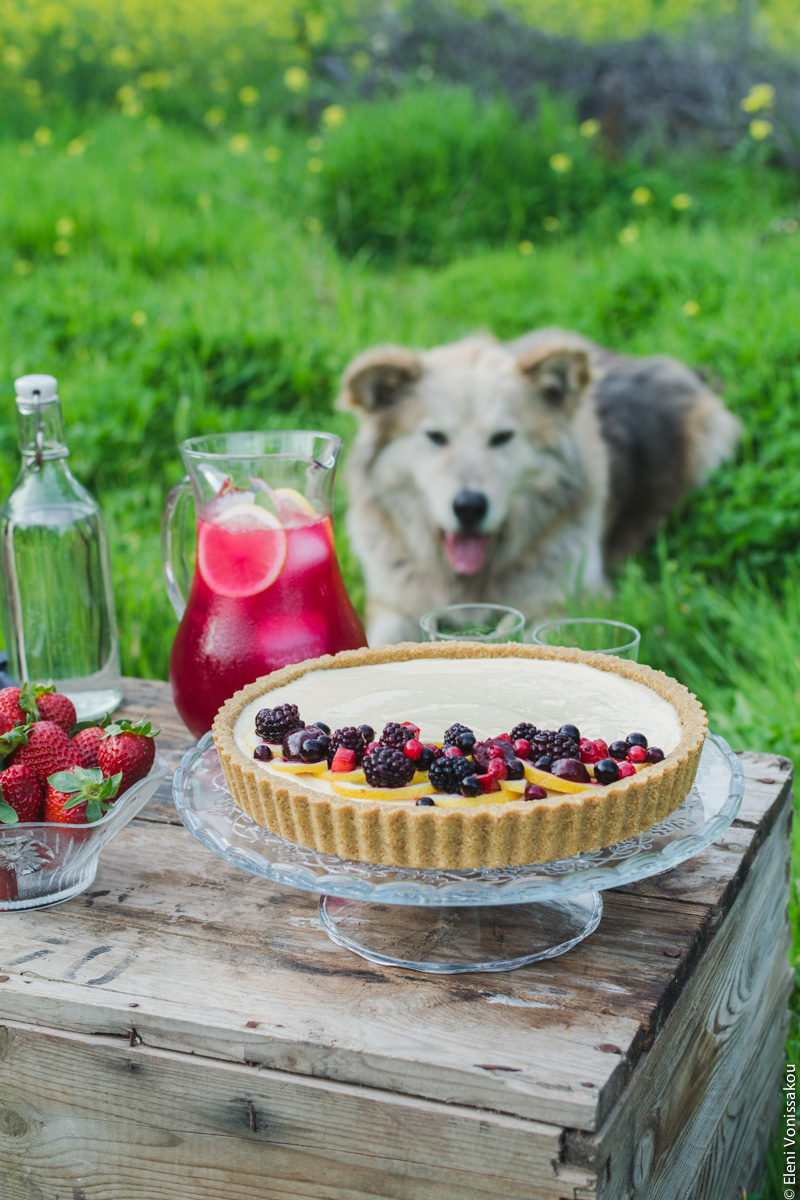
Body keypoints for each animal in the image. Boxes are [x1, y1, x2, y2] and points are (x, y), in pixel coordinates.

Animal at [338, 328, 738, 648]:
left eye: (502, 437)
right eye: (436, 437)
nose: (469, 507)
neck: (472, 581)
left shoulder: (567, 601)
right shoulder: (391, 605)